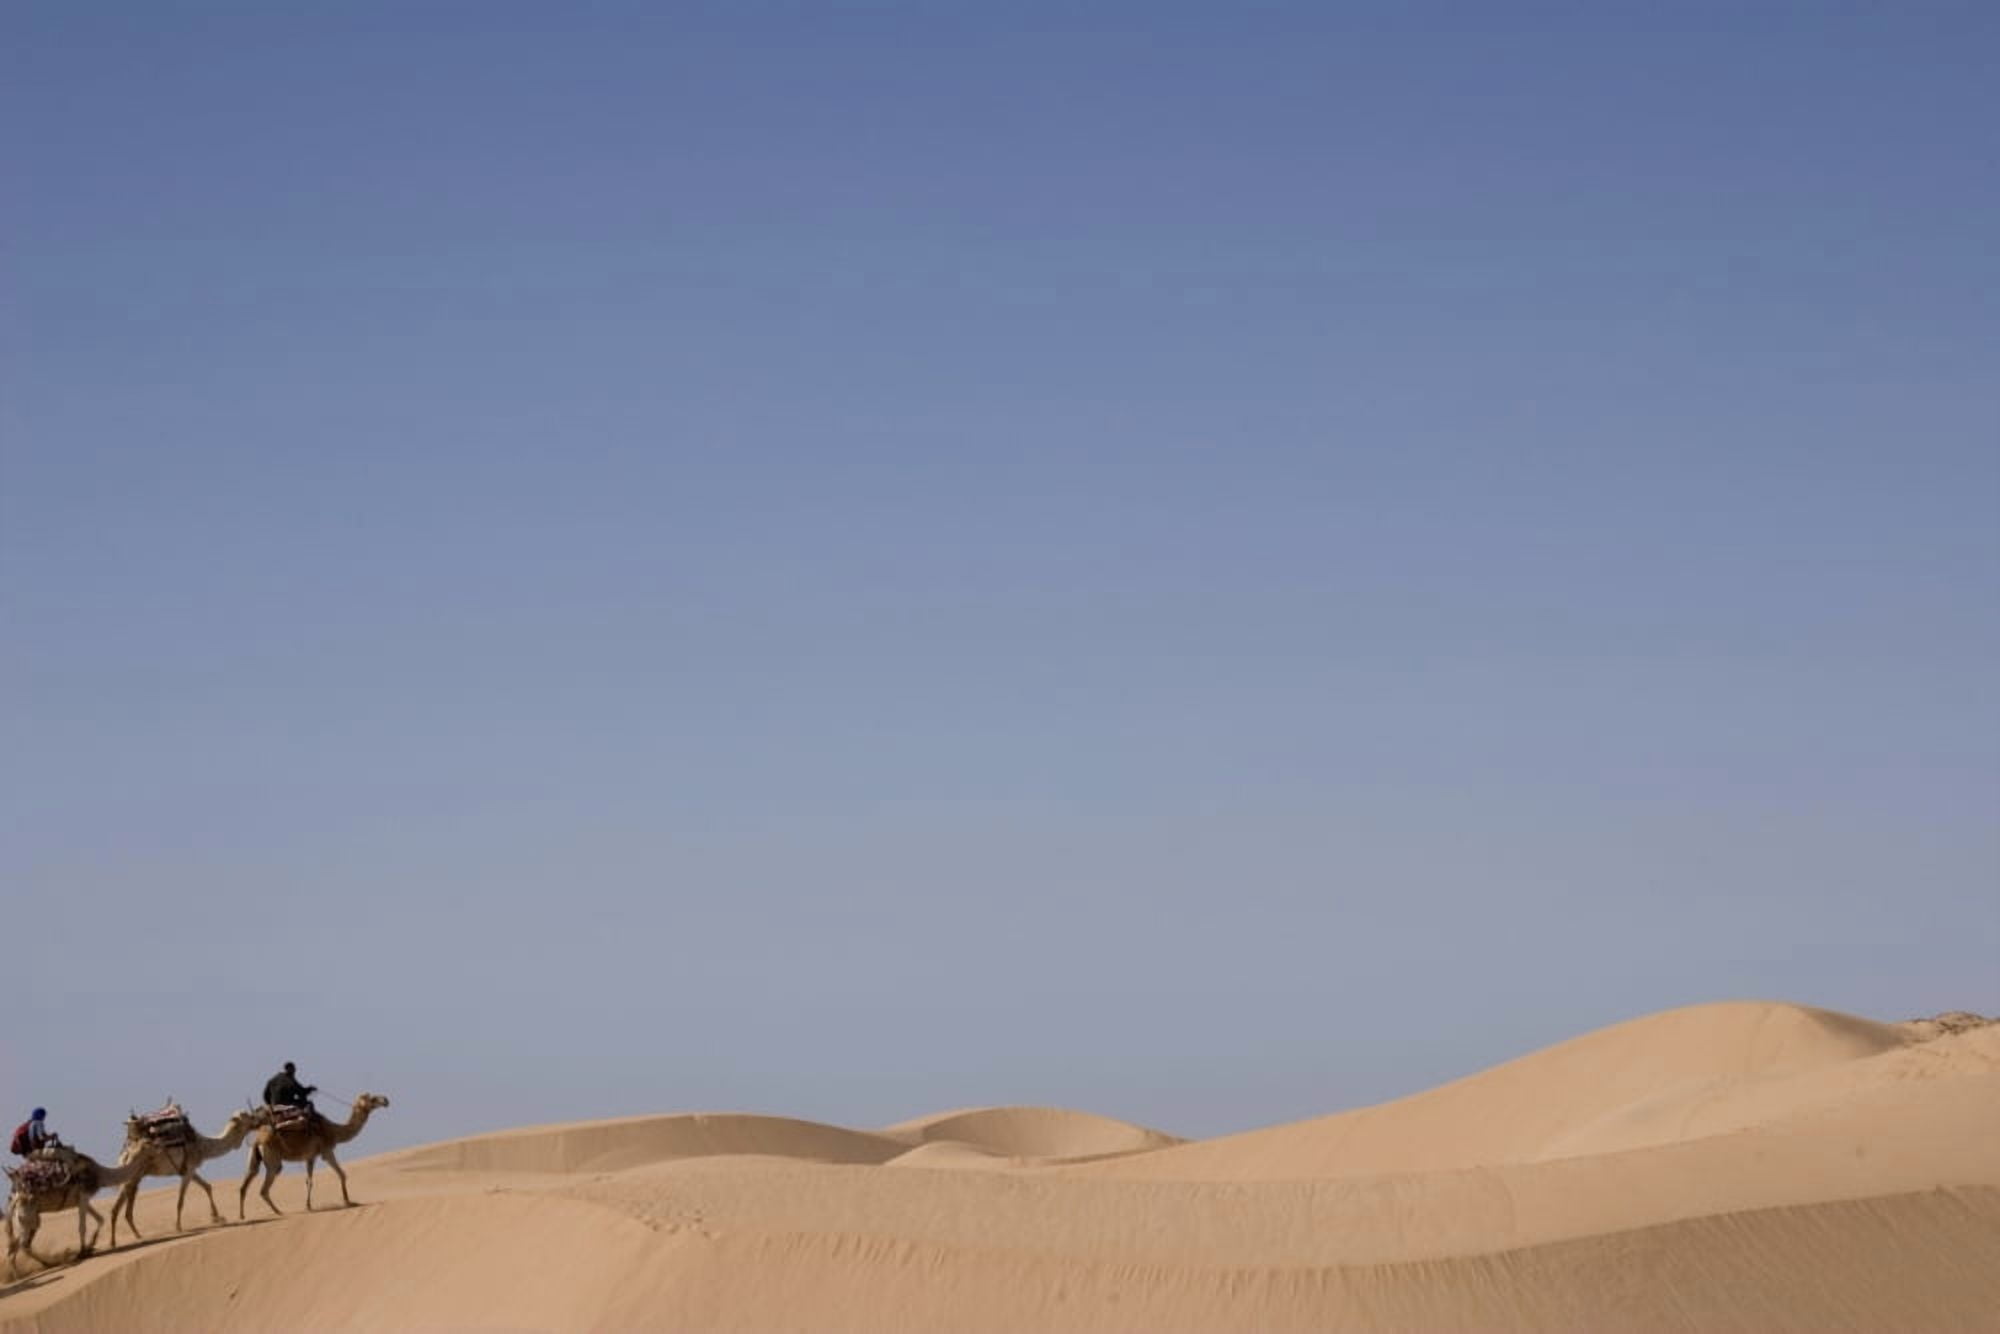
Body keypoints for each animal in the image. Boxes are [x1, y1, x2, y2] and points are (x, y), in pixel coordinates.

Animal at [5, 1148, 146, 1278]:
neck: (99, 1174)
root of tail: (14, 1198)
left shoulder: (82, 1200)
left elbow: (100, 1219)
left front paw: (91, 1246)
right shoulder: (83, 1195)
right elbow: (82, 1227)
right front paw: (82, 1252)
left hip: (27, 1218)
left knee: (16, 1245)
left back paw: (20, 1274)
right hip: (26, 1216)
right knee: (23, 1244)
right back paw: (47, 1265)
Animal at [107, 1107, 266, 1247]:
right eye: (248, 1117)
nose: (258, 1119)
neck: (203, 1145)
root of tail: (126, 1151)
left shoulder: (190, 1170)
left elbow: (207, 1187)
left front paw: (217, 1217)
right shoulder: (189, 1170)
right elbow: (180, 1201)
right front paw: (178, 1227)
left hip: (134, 1175)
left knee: (122, 1206)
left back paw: (128, 1238)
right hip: (134, 1174)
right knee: (122, 1205)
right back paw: (122, 1240)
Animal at [238, 1094, 390, 1217]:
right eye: (373, 1099)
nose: (385, 1100)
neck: (335, 1131)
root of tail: (258, 1140)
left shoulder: (310, 1156)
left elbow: (309, 1181)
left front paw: (309, 1206)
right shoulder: (327, 1151)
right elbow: (342, 1174)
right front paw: (348, 1201)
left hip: (254, 1156)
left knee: (246, 1182)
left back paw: (242, 1216)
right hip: (273, 1159)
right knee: (264, 1188)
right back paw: (279, 1212)